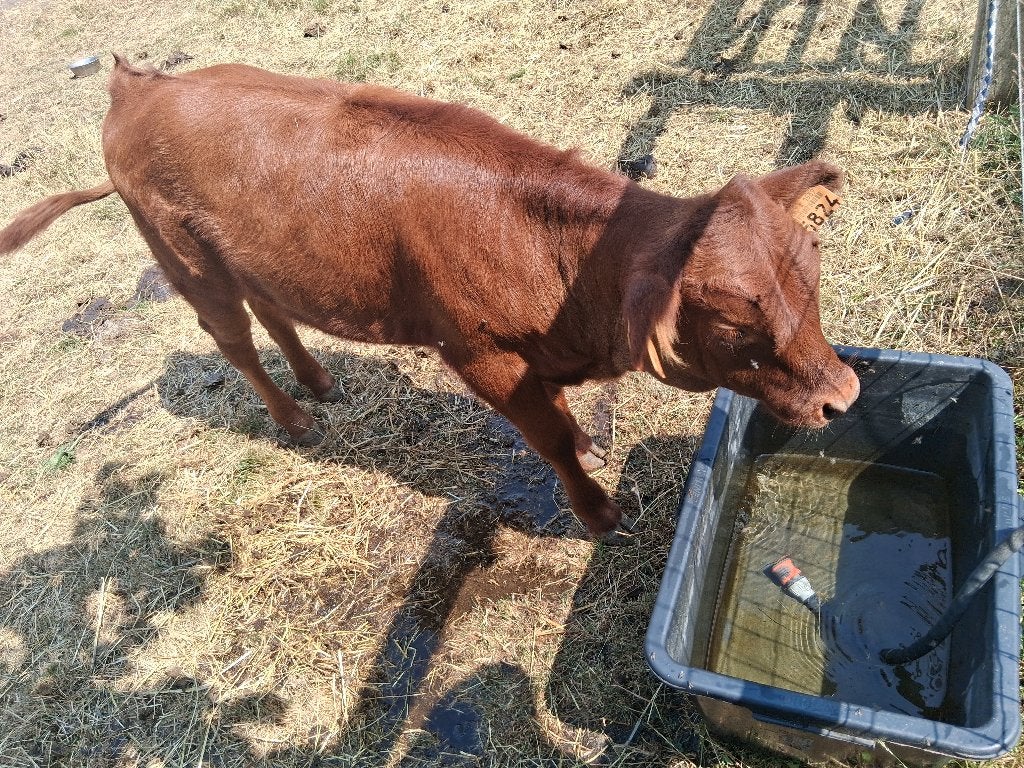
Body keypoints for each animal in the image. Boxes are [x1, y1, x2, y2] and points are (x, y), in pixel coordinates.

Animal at [0, 56, 859, 543]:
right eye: (733, 315)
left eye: (813, 275)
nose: (844, 395)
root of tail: (137, 84)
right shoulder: (478, 355)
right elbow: (547, 439)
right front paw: (598, 512)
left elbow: (565, 424)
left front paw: (590, 447)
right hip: (186, 261)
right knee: (234, 340)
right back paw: (296, 420)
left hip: (255, 259)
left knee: (274, 313)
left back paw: (319, 381)